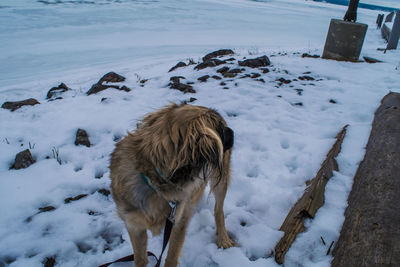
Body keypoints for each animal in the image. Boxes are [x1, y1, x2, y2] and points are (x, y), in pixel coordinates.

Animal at [108, 103, 236, 267]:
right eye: (220, 130)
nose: (231, 130)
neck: (154, 179)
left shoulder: (178, 222)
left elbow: (172, 256)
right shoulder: (134, 226)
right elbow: (140, 258)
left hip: (221, 180)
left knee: (218, 210)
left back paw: (223, 238)